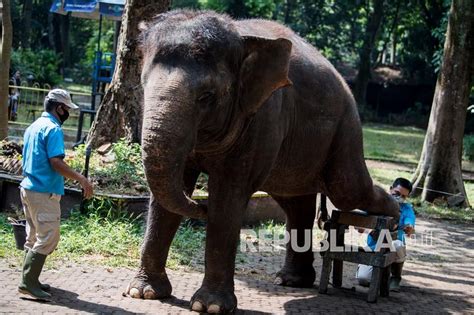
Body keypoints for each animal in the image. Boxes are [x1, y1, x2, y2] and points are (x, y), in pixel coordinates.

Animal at [126, 8, 400, 314]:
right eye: (143, 85)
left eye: (207, 96)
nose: (200, 205)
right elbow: (168, 196)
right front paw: (144, 293)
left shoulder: (263, 118)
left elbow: (228, 199)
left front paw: (210, 307)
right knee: (296, 203)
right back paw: (292, 280)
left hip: (346, 129)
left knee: (347, 191)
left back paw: (395, 220)